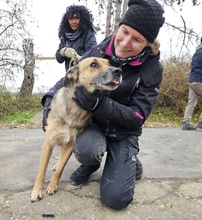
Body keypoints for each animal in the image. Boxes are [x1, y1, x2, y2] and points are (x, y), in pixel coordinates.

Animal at [30, 57, 121, 202]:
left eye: (109, 63)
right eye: (94, 64)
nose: (119, 71)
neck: (74, 108)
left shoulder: (71, 144)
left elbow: (61, 168)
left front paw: (52, 185)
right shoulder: (48, 144)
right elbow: (41, 171)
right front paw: (37, 191)